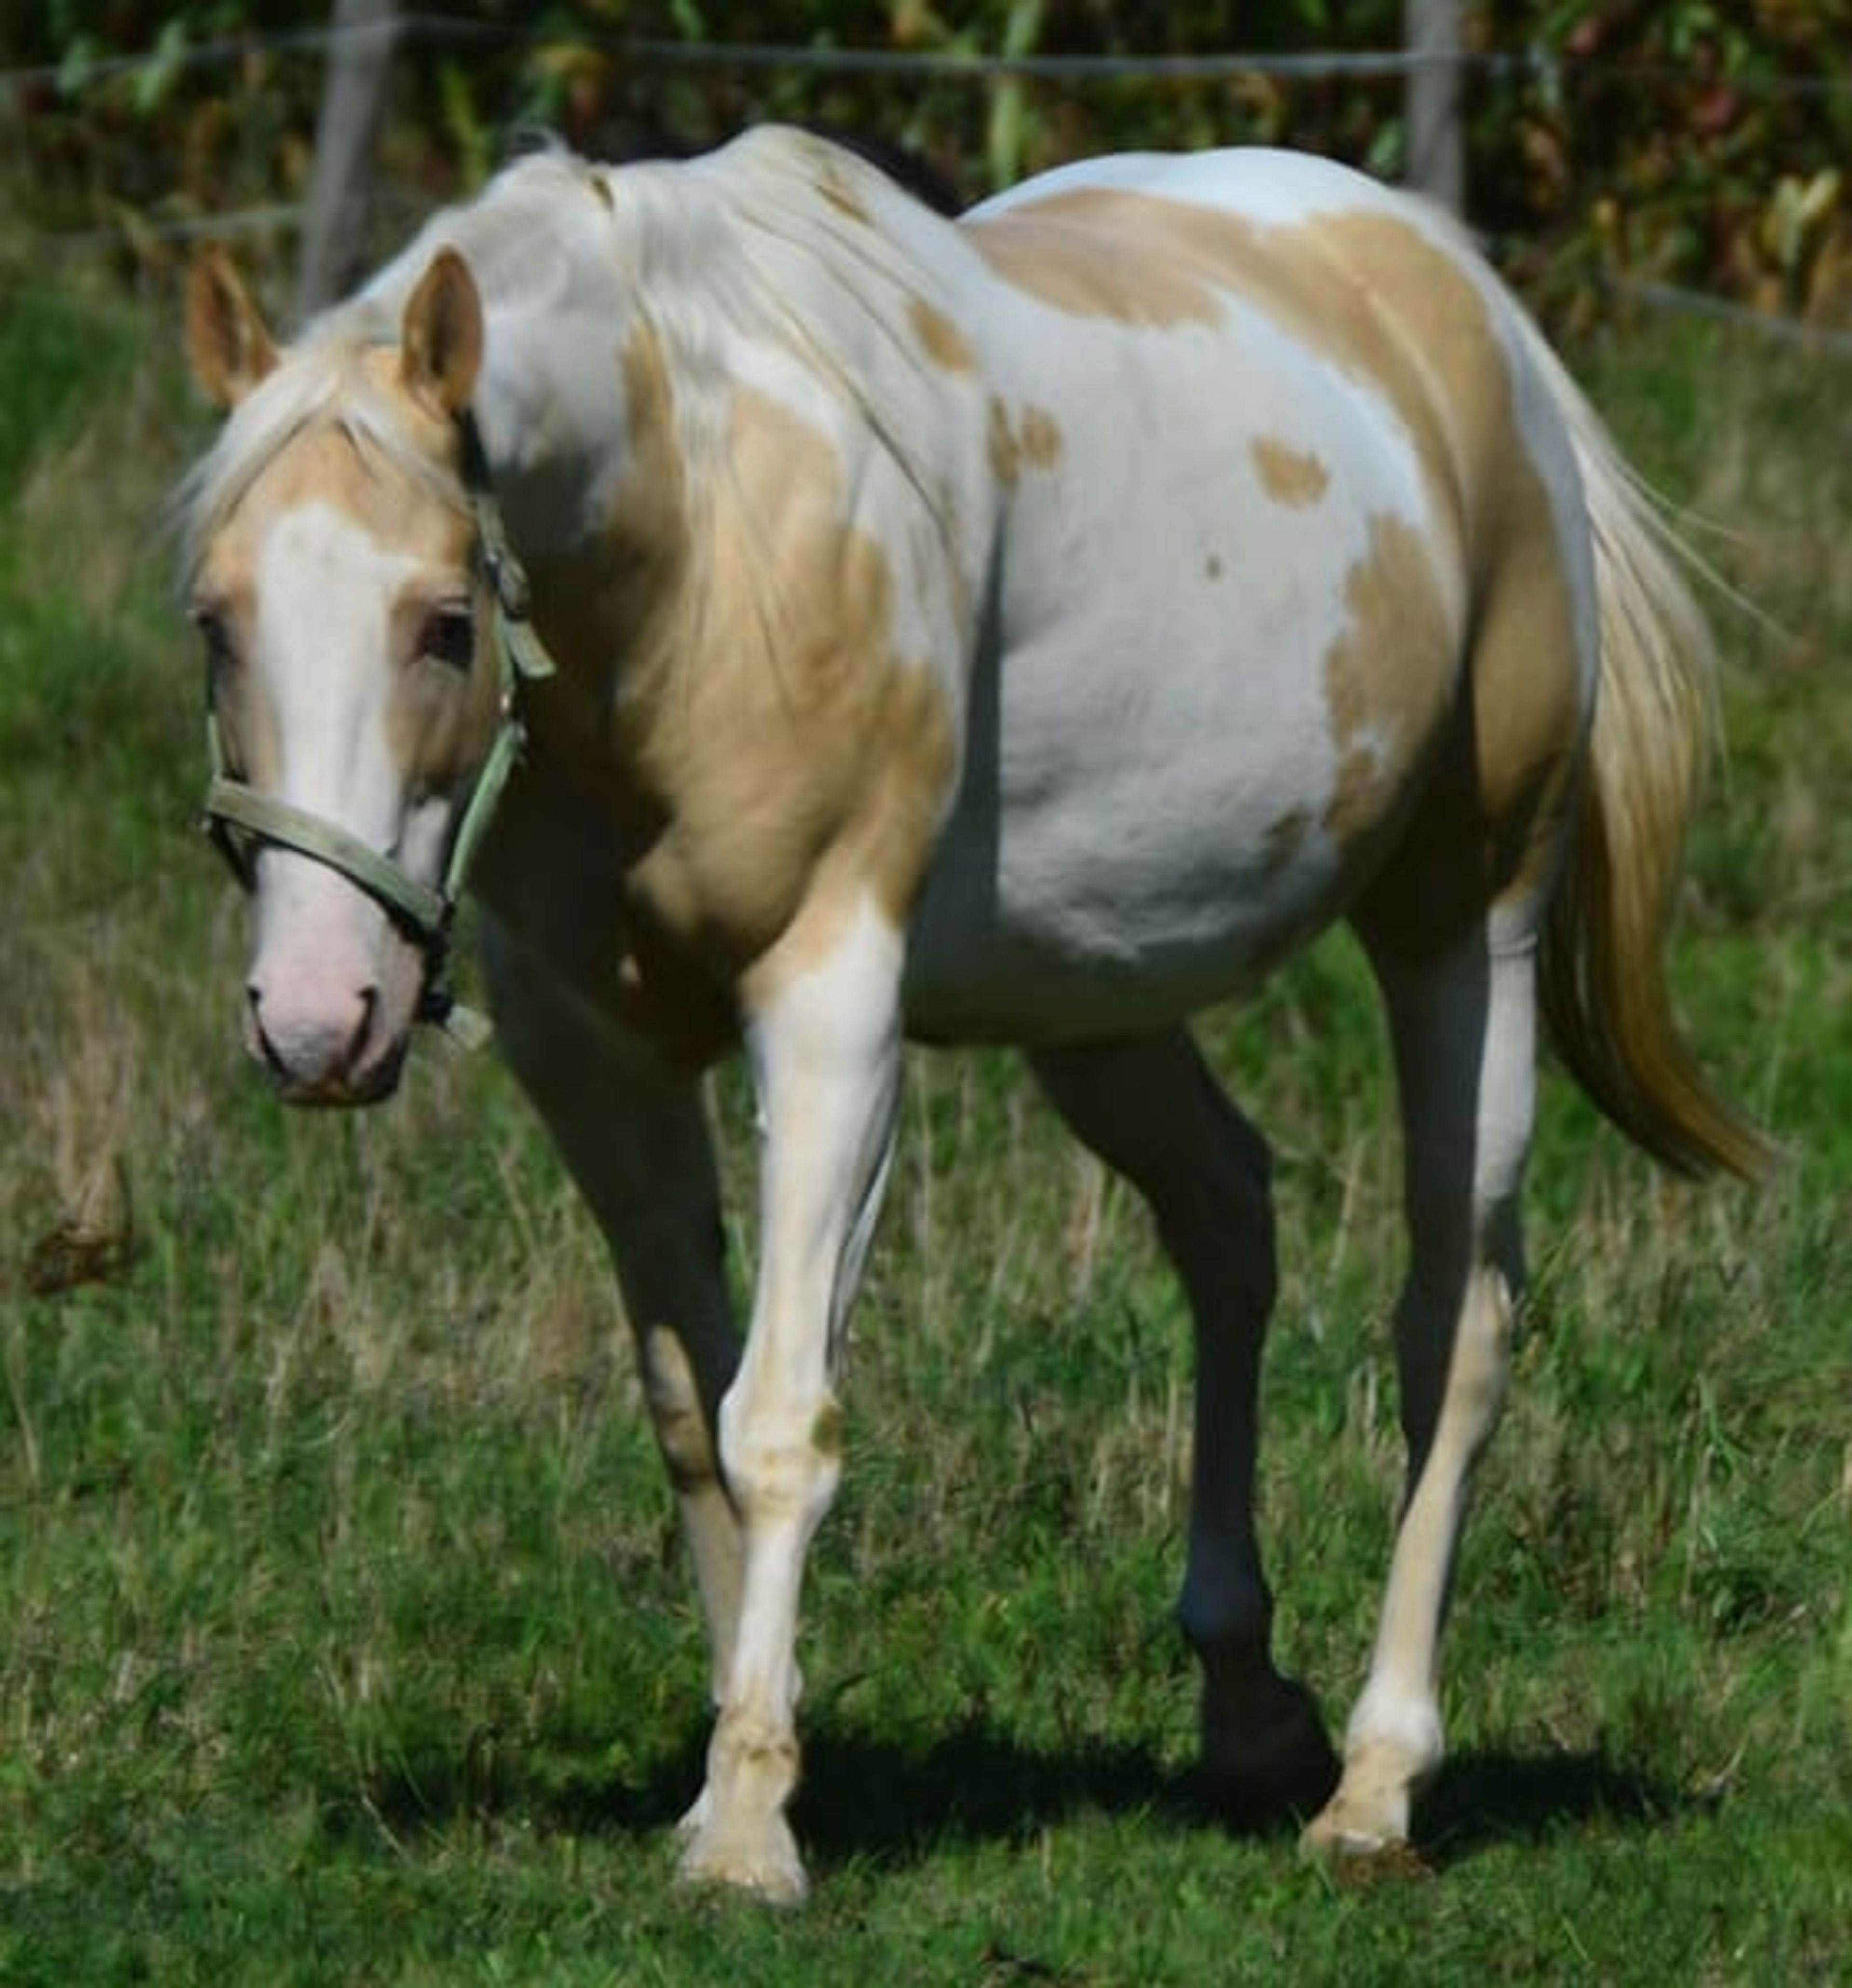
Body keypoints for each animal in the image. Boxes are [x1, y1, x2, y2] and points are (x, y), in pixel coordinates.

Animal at [177, 126, 1769, 1901]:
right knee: (1230, 1223)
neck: (706, 537)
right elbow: (690, 1414)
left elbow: (780, 1415)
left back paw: (1374, 1785)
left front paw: (749, 1833)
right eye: (214, 620)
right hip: (1100, 1000)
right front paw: (728, 1779)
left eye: (444, 621)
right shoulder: (590, 1048)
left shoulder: (831, 1014)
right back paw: (1248, 1707)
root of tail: (1462, 301)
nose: (318, 1018)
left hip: (1463, 932)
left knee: (1458, 1325)